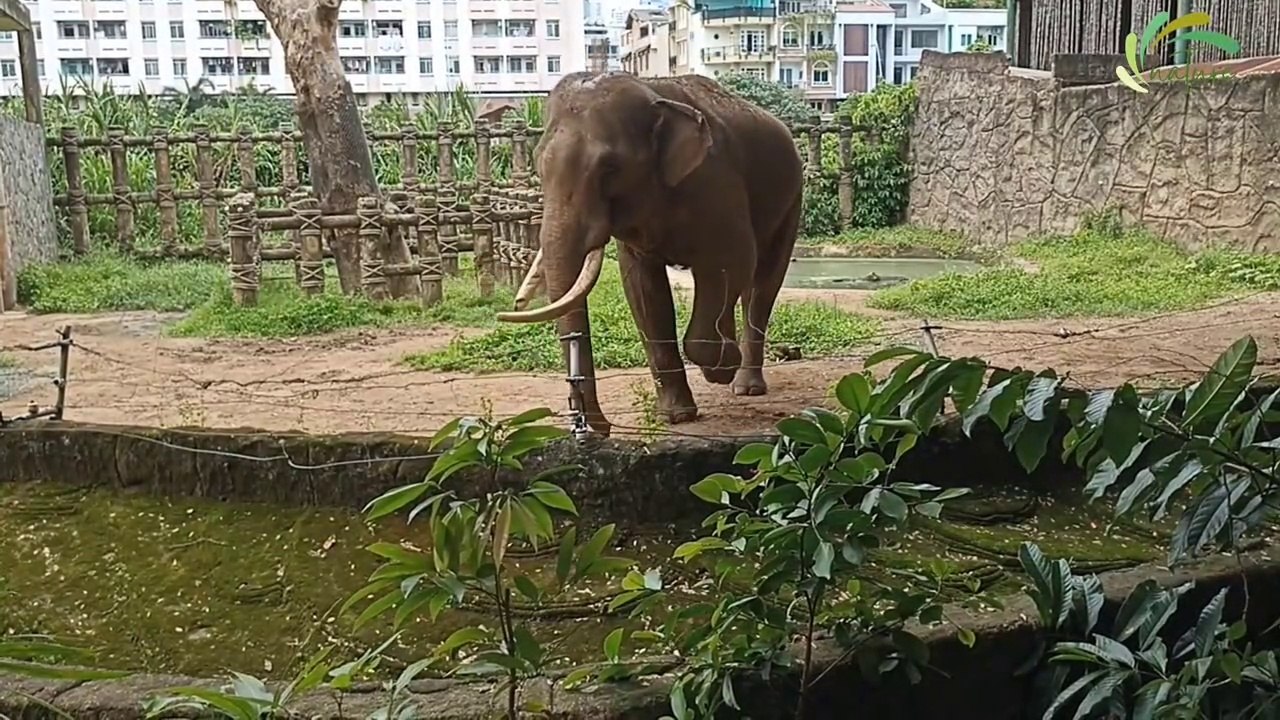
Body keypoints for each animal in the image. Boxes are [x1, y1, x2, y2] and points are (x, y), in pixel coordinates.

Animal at [495, 71, 804, 437]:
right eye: (538, 166)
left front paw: (720, 369)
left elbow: (733, 259)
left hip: (793, 196)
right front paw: (677, 416)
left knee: (763, 282)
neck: (651, 92)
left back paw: (744, 386)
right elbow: (643, 288)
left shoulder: (717, 182)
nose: (601, 428)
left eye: (610, 168)